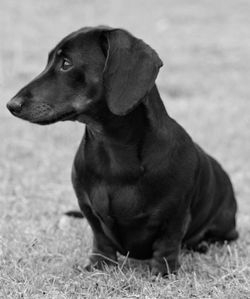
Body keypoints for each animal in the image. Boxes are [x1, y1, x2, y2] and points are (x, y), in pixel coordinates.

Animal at [6, 26, 238, 276]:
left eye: (66, 63)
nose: (11, 105)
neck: (114, 151)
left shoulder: (175, 215)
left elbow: (167, 243)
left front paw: (163, 272)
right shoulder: (88, 209)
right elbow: (100, 238)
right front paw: (99, 265)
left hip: (225, 226)